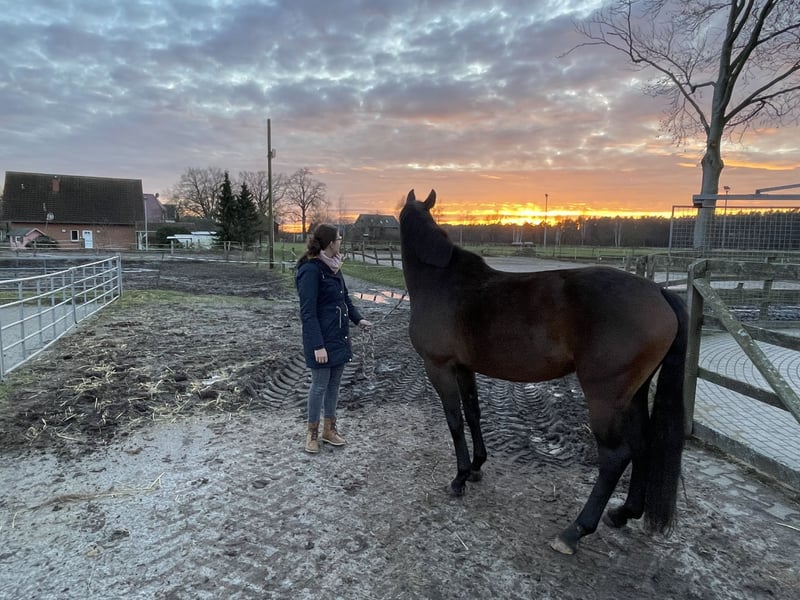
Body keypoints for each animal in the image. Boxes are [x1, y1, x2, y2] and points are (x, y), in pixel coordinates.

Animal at [399, 189, 688, 555]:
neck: (441, 281)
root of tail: (659, 292)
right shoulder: (464, 368)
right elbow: (473, 414)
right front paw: (477, 468)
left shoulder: (439, 368)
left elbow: (454, 421)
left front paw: (460, 477)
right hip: (634, 394)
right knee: (642, 444)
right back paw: (623, 513)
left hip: (605, 397)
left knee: (614, 456)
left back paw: (574, 531)